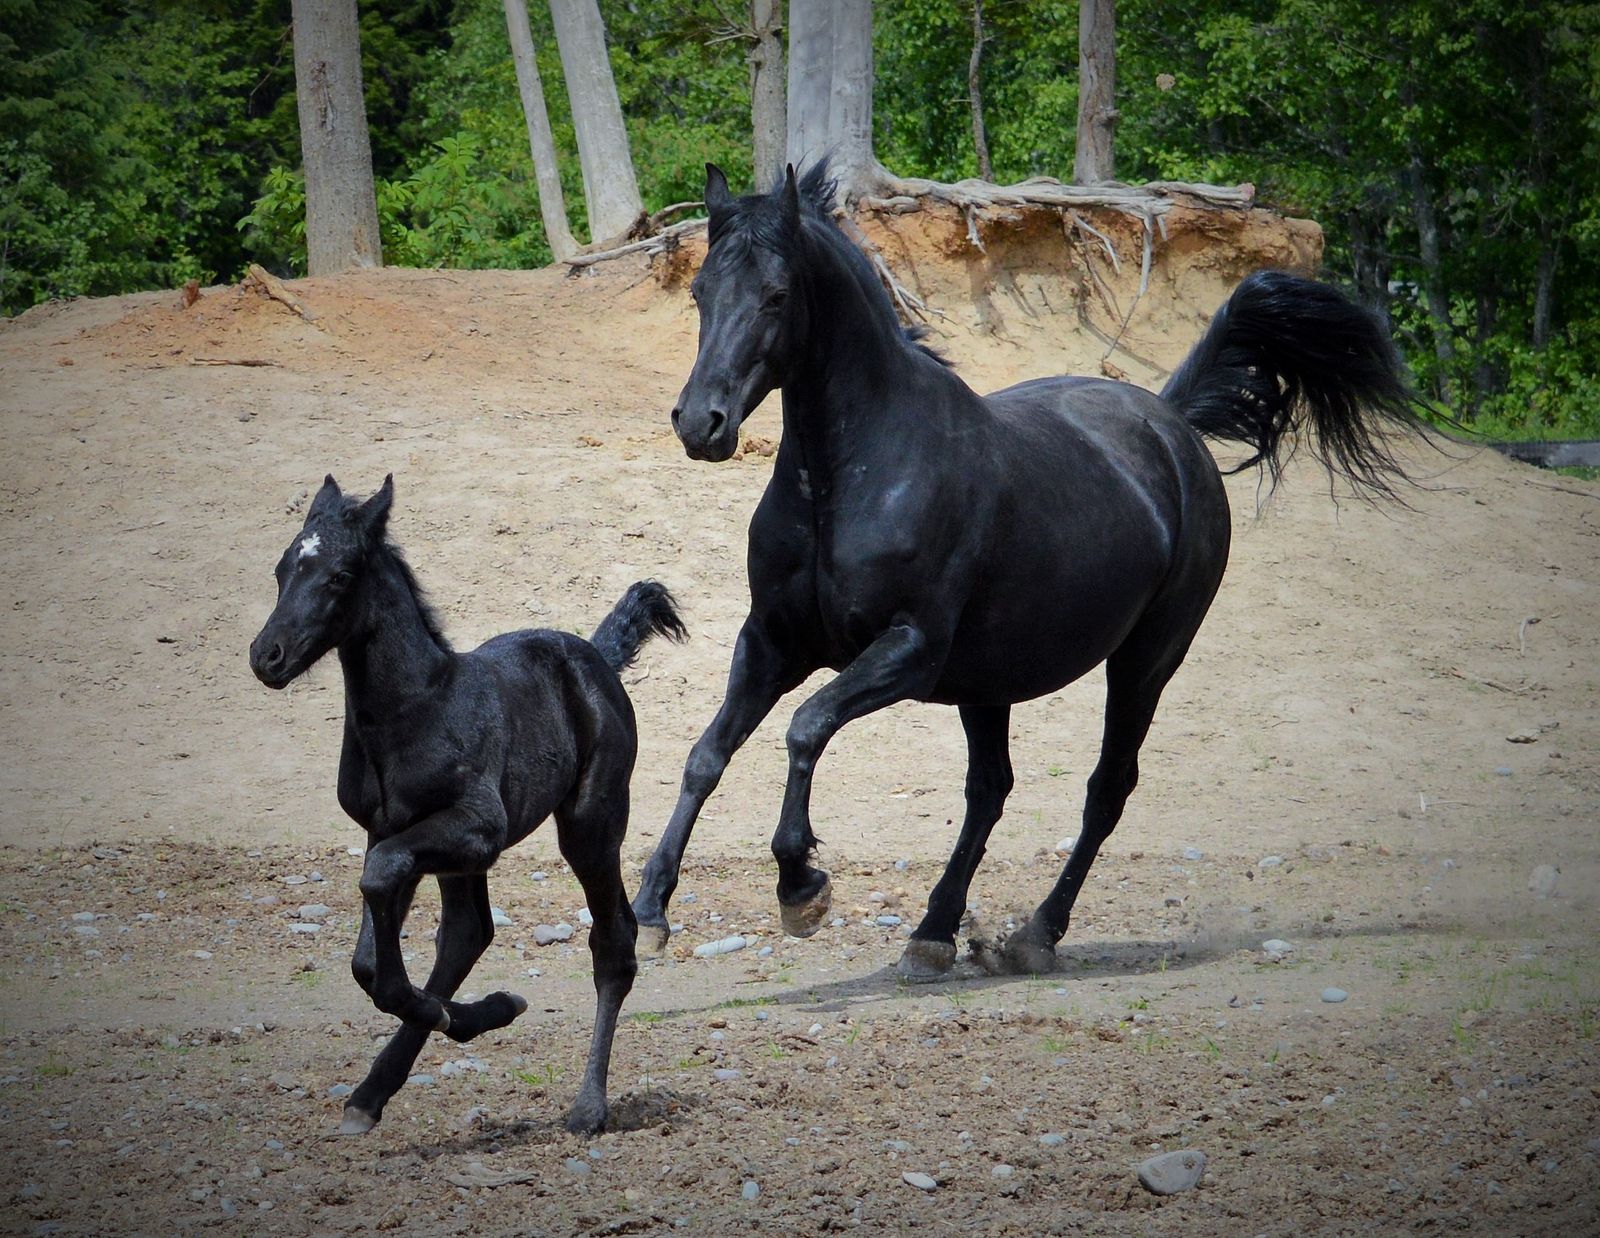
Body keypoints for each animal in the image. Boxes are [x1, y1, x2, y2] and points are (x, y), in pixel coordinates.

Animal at [249, 475, 685, 1134]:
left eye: (340, 576)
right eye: (281, 568)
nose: (265, 655)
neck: (419, 709)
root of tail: (594, 656)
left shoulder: (479, 829)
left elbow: (378, 892)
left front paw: (460, 1012)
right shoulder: (389, 830)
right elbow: (368, 962)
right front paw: (465, 1013)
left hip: (590, 824)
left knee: (614, 945)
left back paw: (588, 1106)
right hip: (465, 859)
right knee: (468, 931)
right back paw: (379, 1087)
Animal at [630, 162, 1421, 981]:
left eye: (777, 295)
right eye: (700, 293)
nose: (701, 423)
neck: (854, 474)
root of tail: (1171, 423)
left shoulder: (909, 651)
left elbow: (805, 728)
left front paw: (800, 885)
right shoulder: (772, 641)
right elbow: (706, 755)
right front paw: (650, 909)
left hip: (1145, 661)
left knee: (1106, 790)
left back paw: (1036, 933)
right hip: (990, 679)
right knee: (990, 791)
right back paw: (935, 933)